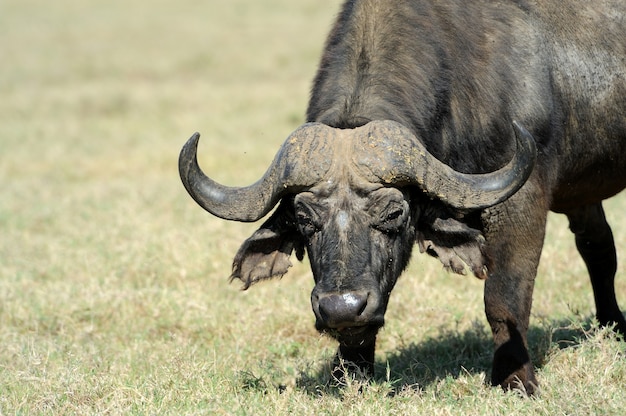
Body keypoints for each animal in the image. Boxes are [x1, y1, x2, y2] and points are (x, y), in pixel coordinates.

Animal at [178, 0, 620, 394]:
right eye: (304, 220)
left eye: (394, 214)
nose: (342, 306)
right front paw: (351, 374)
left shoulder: (522, 200)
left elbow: (504, 298)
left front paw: (515, 380)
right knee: (598, 247)